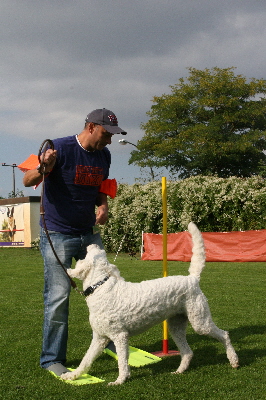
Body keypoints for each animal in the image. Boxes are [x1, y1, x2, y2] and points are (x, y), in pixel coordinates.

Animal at [61, 222, 239, 384]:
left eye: (98, 252)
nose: (93, 243)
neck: (100, 287)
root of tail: (192, 279)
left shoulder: (120, 336)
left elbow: (122, 362)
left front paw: (120, 380)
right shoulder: (100, 338)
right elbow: (86, 360)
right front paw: (72, 376)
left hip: (200, 323)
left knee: (224, 335)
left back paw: (234, 360)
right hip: (176, 326)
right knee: (188, 352)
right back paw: (179, 371)